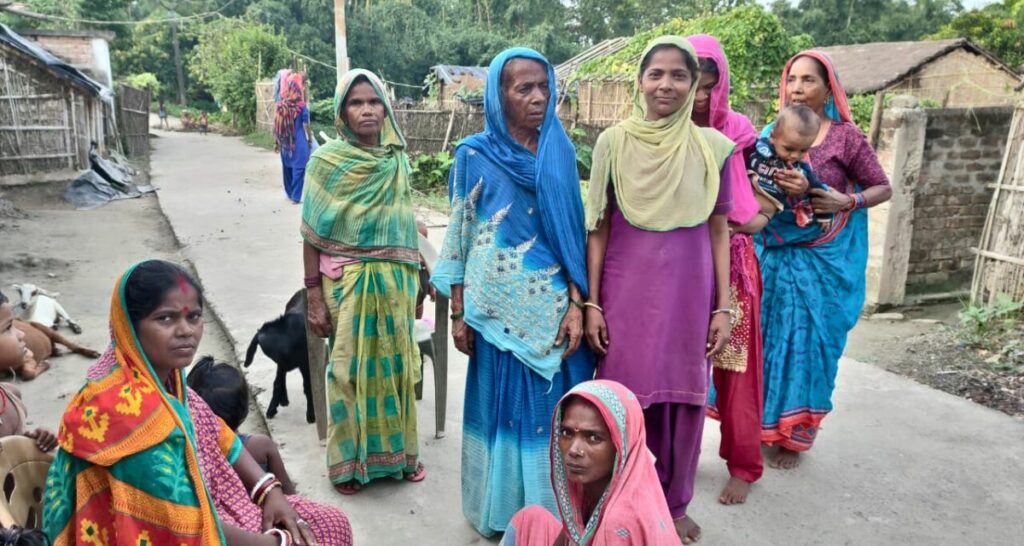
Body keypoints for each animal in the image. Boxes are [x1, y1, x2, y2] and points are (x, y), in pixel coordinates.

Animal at [243, 286, 311, 424]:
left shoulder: (304, 363)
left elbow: (307, 386)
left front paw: (311, 415)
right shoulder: (282, 363)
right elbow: (277, 383)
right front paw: (271, 409)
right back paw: (283, 400)